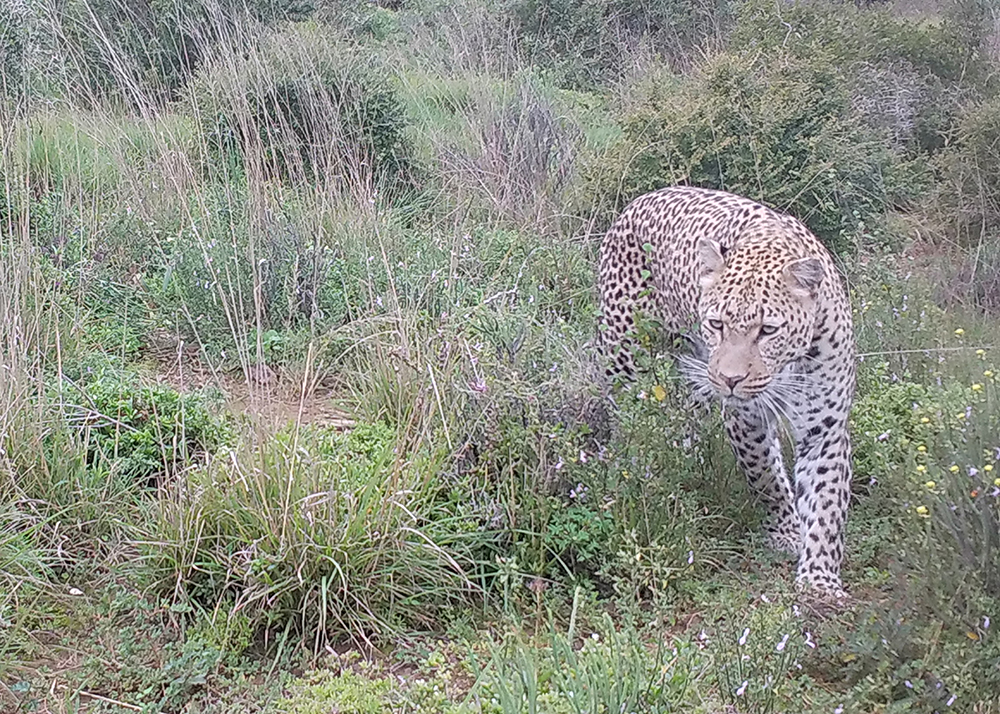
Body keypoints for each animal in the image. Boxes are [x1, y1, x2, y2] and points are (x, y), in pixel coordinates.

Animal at [596, 185, 856, 596]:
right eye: (716, 323)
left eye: (768, 330)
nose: (730, 379)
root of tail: (642, 198)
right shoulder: (745, 417)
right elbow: (766, 476)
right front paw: (786, 533)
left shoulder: (825, 426)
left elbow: (826, 502)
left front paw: (820, 579)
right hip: (625, 356)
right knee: (627, 421)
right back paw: (632, 476)